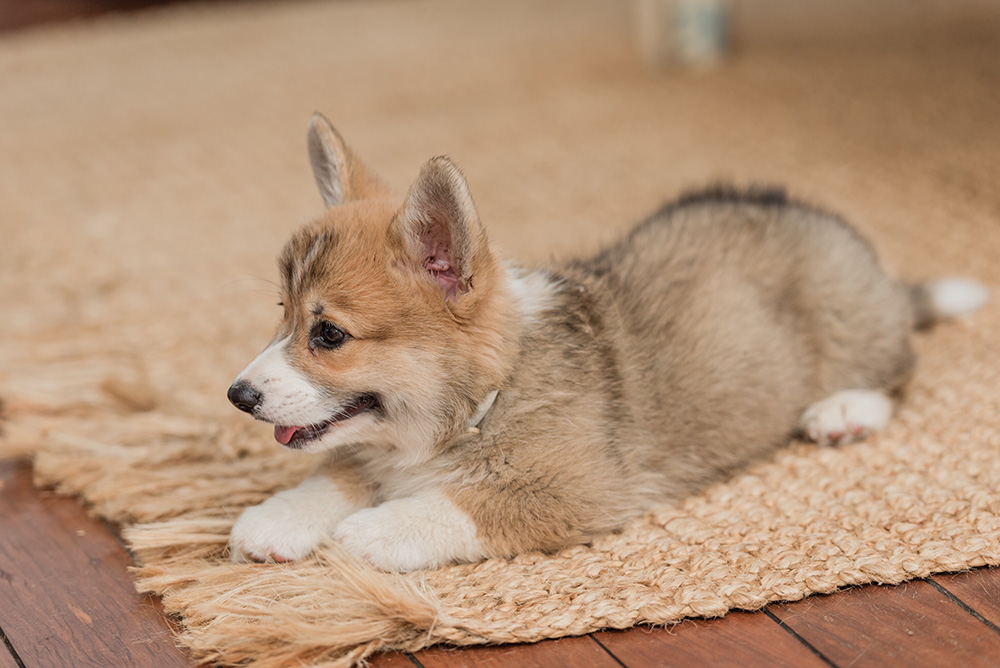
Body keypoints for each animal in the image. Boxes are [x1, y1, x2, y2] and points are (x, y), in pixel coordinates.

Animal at [225, 112, 984, 572]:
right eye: (282, 315)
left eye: (329, 334)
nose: (238, 396)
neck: (482, 403)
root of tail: (880, 274)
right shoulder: (374, 452)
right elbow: (339, 474)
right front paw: (277, 518)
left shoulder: (579, 492)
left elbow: (461, 505)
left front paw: (371, 532)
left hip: (846, 323)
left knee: (898, 370)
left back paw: (843, 411)